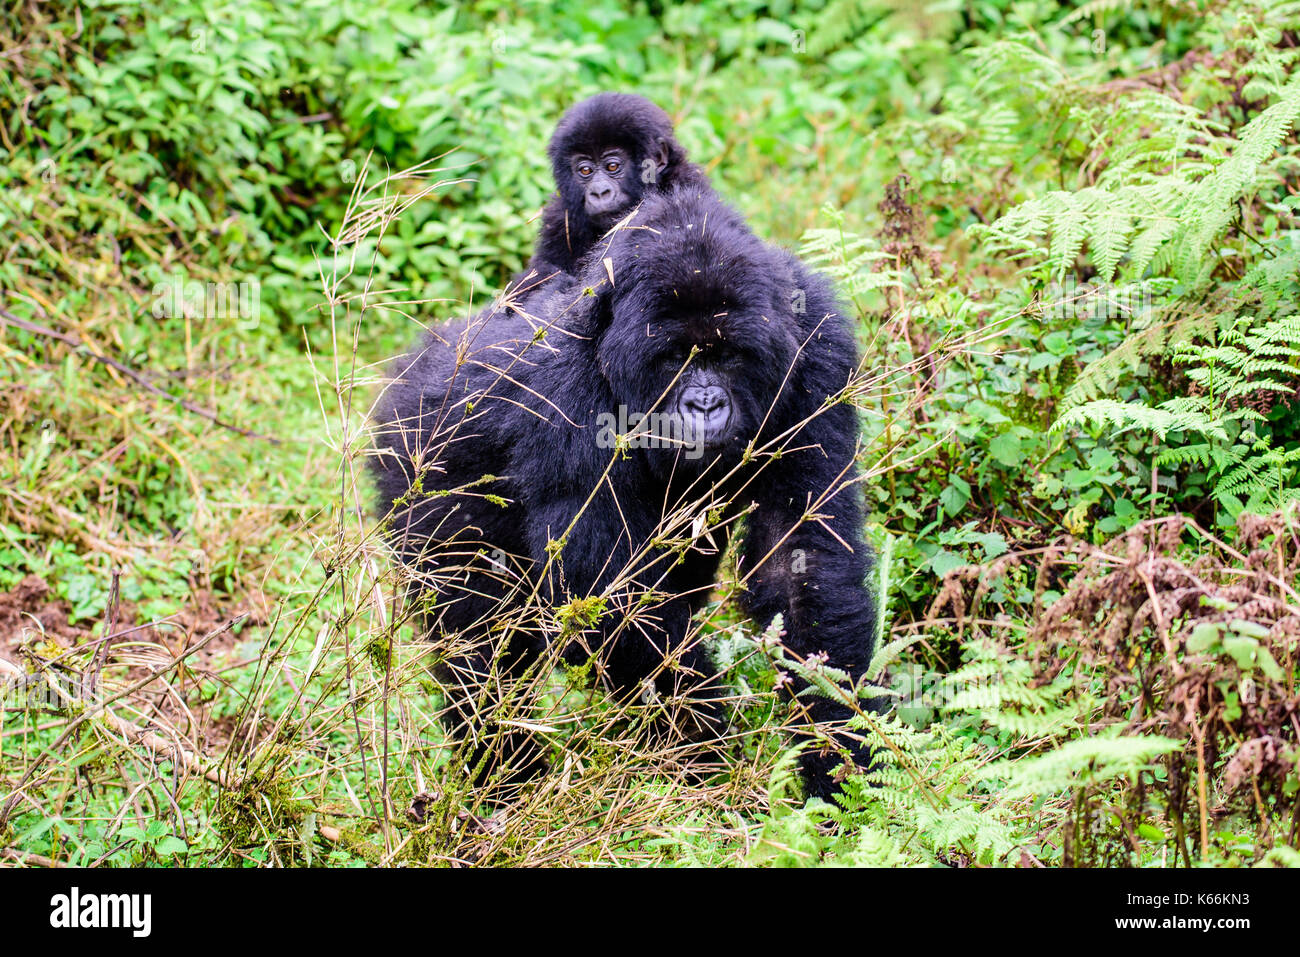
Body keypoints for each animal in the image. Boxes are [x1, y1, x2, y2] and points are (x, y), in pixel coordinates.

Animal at [377, 184, 883, 800]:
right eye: (674, 357)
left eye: (728, 354)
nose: (705, 405)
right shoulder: (564, 386)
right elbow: (606, 599)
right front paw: (706, 762)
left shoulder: (817, 351)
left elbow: (802, 558)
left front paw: (837, 755)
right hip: (412, 464)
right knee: (478, 646)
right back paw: (502, 774)